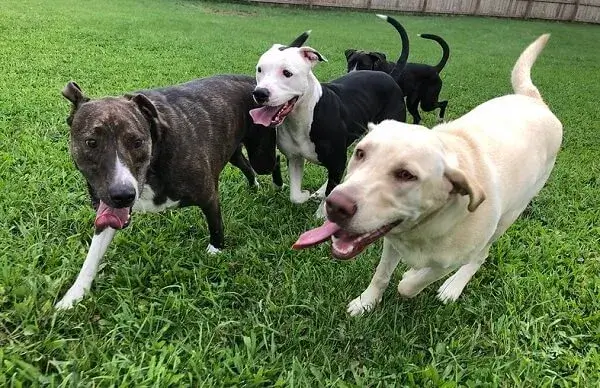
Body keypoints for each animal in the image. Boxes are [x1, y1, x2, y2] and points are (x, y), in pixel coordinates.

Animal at [294, 34, 564, 316]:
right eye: (360, 153)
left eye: (406, 174)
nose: (335, 205)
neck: (426, 225)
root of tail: (535, 101)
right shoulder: (391, 240)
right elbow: (381, 275)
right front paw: (366, 302)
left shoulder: (454, 256)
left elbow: (413, 282)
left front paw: (412, 278)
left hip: (507, 218)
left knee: (481, 256)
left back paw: (454, 286)